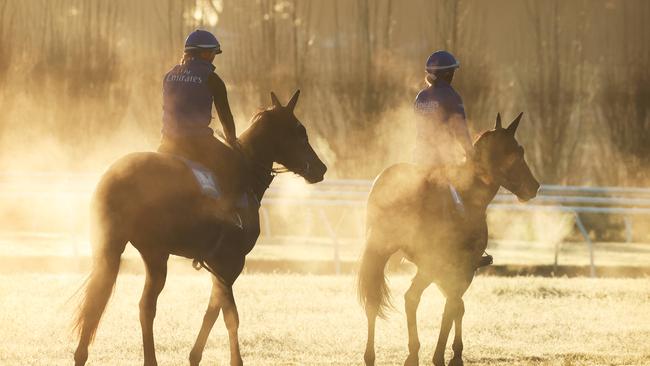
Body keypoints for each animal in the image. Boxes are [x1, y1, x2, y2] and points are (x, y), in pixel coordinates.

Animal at [71, 91, 326, 366]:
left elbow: (214, 309)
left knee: (117, 303)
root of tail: (116, 178)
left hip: (120, 249)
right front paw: (232, 360)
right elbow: (228, 314)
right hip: (156, 253)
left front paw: (195, 356)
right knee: (144, 305)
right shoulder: (231, 262)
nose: (321, 168)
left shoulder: (218, 264)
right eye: (300, 131)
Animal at [354, 113, 536, 364]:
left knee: (375, 300)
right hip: (429, 263)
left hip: (382, 252)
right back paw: (421, 354)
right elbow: (453, 306)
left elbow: (456, 305)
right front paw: (451, 353)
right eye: (517, 152)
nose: (534, 187)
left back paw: (374, 355)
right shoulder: (461, 269)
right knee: (413, 297)